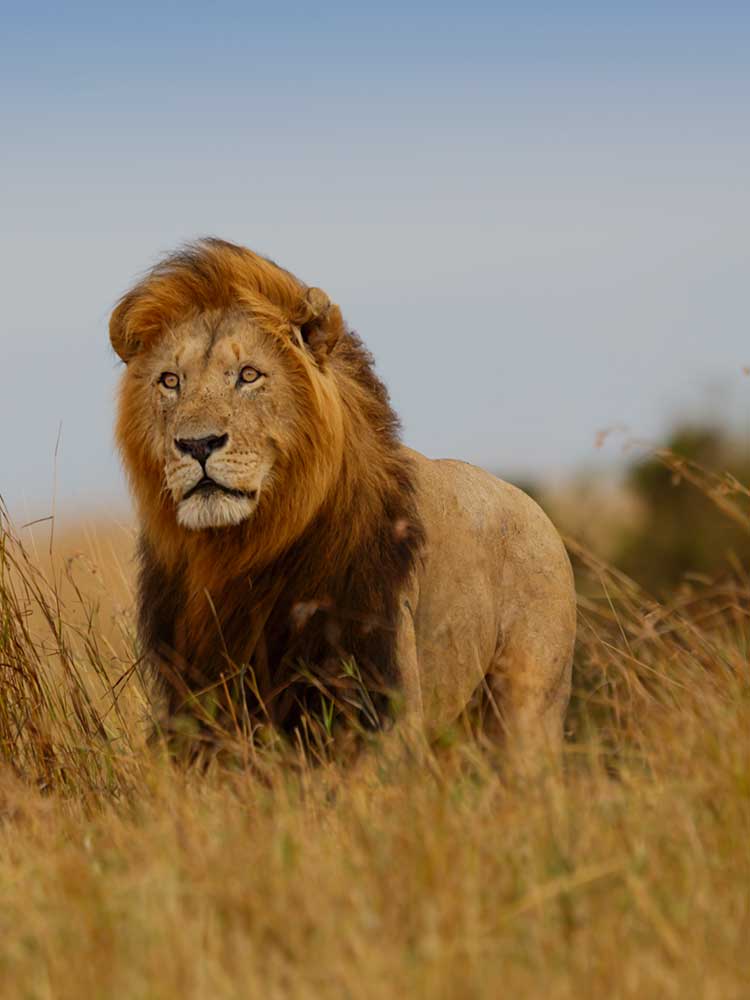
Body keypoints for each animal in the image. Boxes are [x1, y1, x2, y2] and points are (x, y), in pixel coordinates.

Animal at [110, 238, 576, 764]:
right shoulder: (196, 698)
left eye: (248, 375)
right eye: (170, 381)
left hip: (527, 705)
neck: (240, 551)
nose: (197, 444)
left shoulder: (379, 695)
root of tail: (536, 511)